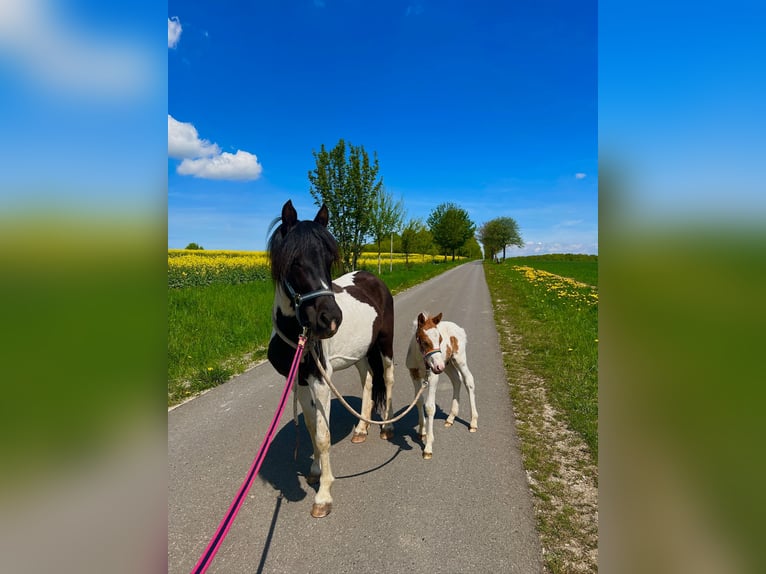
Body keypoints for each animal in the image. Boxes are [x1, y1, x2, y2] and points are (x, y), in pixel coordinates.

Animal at [267, 200, 395, 518]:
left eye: (328, 259)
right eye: (294, 261)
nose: (331, 319)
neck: (298, 335)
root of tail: (372, 277)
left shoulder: (321, 381)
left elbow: (323, 436)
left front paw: (323, 495)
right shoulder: (299, 382)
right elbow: (312, 428)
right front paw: (314, 471)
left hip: (384, 345)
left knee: (387, 378)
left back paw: (387, 427)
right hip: (360, 353)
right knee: (368, 381)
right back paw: (361, 428)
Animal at [406, 312, 478, 459]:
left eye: (440, 340)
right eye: (425, 341)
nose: (438, 367)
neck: (421, 360)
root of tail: (459, 328)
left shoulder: (433, 376)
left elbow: (430, 407)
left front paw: (428, 446)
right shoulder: (414, 374)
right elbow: (418, 401)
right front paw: (422, 431)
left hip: (458, 359)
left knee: (468, 380)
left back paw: (473, 422)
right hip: (447, 364)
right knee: (456, 380)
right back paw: (450, 418)